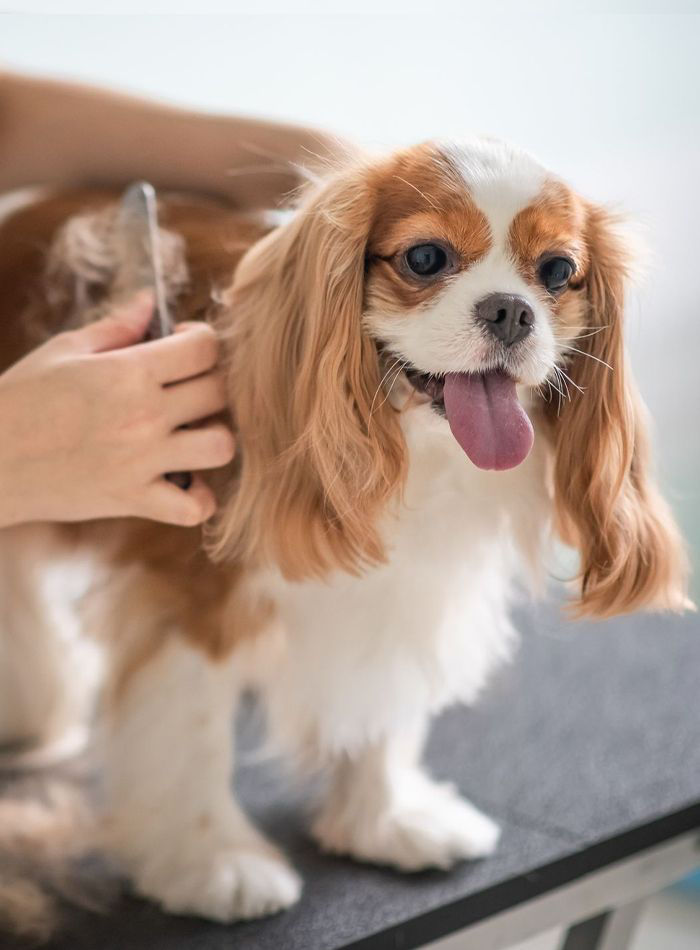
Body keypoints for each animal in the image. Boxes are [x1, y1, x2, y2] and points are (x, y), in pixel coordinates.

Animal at [0, 138, 688, 932]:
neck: (415, 448)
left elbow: (382, 701)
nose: (512, 310)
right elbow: (193, 730)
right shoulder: (193, 597)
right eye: (425, 258)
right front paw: (212, 865)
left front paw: (385, 822)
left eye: (555, 272)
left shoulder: (399, 588)